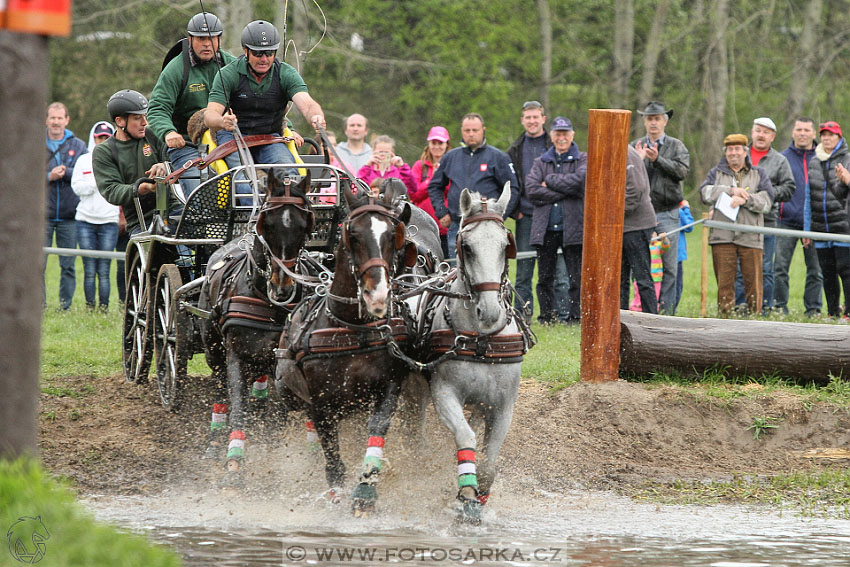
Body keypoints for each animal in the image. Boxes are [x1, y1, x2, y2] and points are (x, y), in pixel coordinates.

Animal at [199, 173, 314, 484]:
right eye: (267, 223)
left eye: (304, 225)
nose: (283, 285)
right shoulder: (235, 355)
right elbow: (237, 404)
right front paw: (234, 463)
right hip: (213, 350)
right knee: (220, 391)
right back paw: (214, 442)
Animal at [274, 181, 416, 516]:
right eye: (353, 235)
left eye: (393, 236)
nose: (378, 295)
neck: (353, 329)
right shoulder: (321, 401)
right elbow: (331, 453)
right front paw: (337, 491)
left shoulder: (389, 387)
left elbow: (377, 429)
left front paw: (365, 491)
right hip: (287, 393)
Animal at [422, 185, 524, 524]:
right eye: (467, 247)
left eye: (506, 245)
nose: (490, 311)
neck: (481, 340)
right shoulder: (443, 394)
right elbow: (465, 438)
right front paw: (466, 494)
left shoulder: (503, 407)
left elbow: (490, 461)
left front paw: (480, 498)